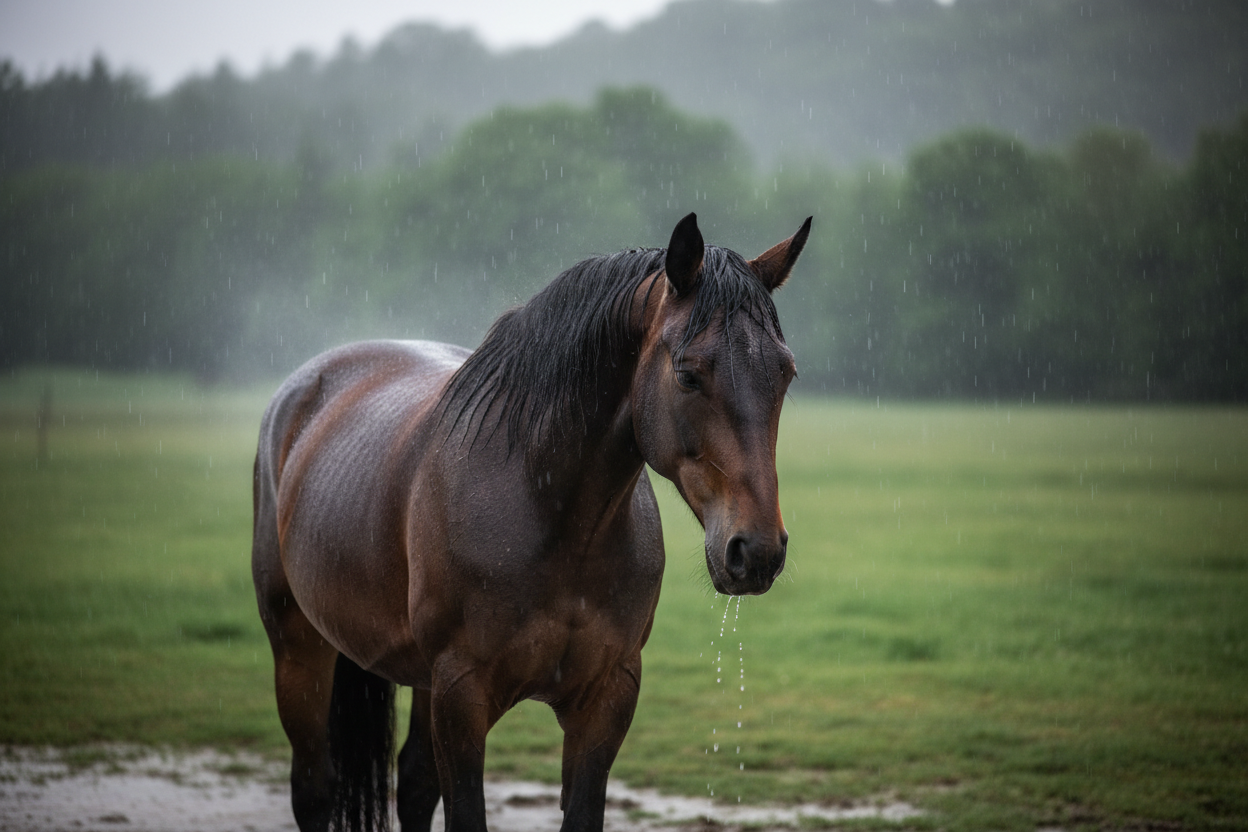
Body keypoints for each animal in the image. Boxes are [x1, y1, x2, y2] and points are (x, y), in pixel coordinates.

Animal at [252, 212, 811, 832]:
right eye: (688, 375)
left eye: (785, 373)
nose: (756, 551)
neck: (553, 517)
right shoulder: (461, 695)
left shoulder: (606, 698)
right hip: (299, 650)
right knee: (314, 788)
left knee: (415, 784)